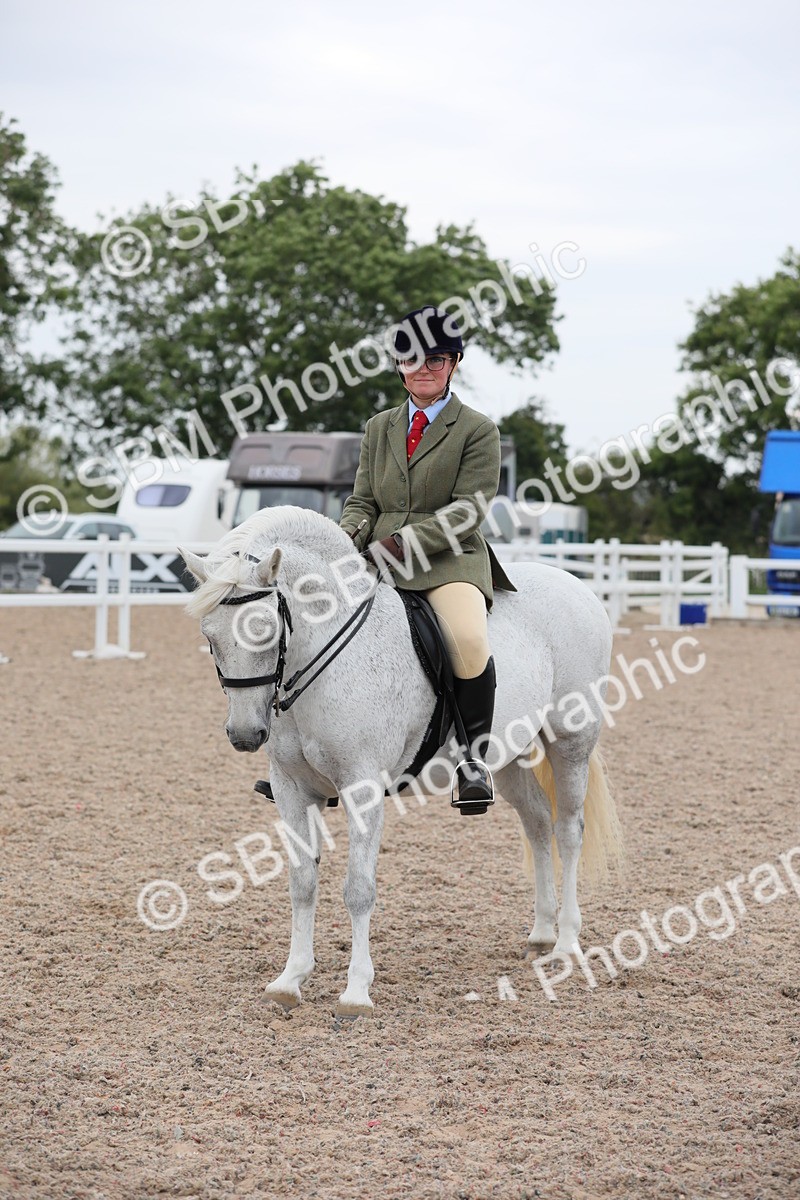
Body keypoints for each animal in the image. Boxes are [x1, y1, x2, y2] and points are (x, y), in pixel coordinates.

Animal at [180, 506, 622, 1017]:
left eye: (266, 630)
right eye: (209, 636)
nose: (245, 735)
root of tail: (577, 585)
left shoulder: (362, 787)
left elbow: (358, 889)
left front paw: (355, 992)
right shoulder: (291, 789)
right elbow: (302, 881)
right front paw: (290, 980)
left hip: (571, 740)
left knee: (568, 831)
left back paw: (567, 944)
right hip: (508, 757)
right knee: (537, 822)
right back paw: (541, 935)